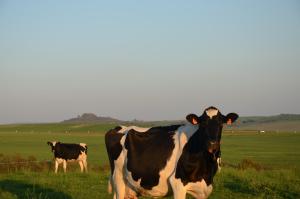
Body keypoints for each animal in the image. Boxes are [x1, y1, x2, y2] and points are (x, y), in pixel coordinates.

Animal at [104, 107, 238, 199]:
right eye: (203, 124)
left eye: (221, 124)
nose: (212, 144)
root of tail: (118, 127)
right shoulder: (178, 184)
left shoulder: (204, 189)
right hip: (118, 177)